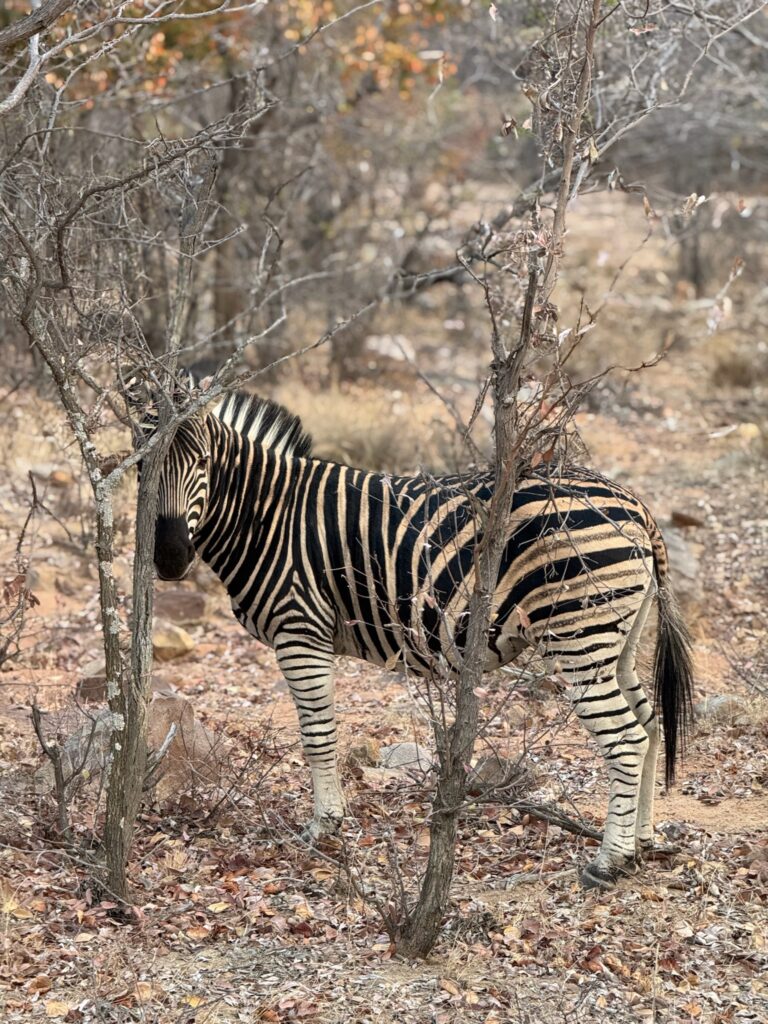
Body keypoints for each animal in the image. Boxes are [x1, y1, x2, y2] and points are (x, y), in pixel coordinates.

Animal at [148, 387, 693, 890]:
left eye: (204, 463)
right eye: (146, 468)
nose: (170, 558)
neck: (265, 514)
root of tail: (636, 505)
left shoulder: (301, 629)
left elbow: (318, 736)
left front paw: (324, 827)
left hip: (578, 634)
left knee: (626, 737)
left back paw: (609, 861)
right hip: (617, 638)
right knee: (650, 725)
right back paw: (642, 843)